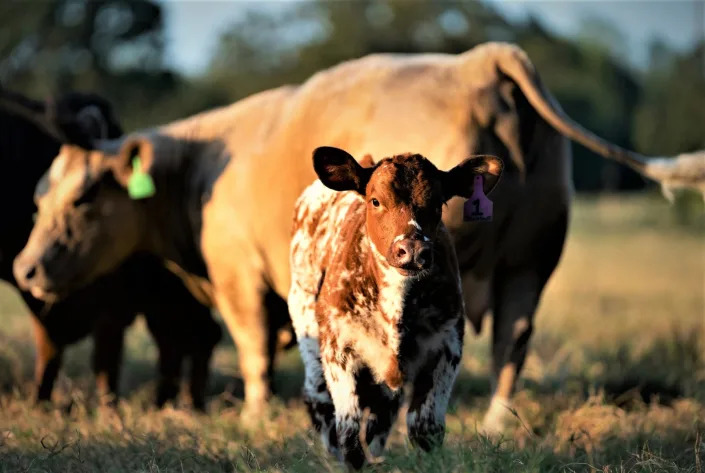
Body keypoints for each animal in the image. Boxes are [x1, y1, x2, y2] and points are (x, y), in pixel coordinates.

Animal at [0, 89, 220, 410]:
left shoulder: (115, 304)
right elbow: (49, 357)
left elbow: (105, 365)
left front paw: (109, 411)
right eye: (39, 200)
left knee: (196, 339)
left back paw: (187, 405)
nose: (24, 267)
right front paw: (39, 405)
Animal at [288, 146, 504, 466]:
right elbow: (349, 430)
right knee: (319, 399)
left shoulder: (447, 345)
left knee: (382, 414)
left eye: (437, 203)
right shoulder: (339, 348)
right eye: (376, 200)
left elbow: (425, 427)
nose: (412, 250)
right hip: (305, 320)